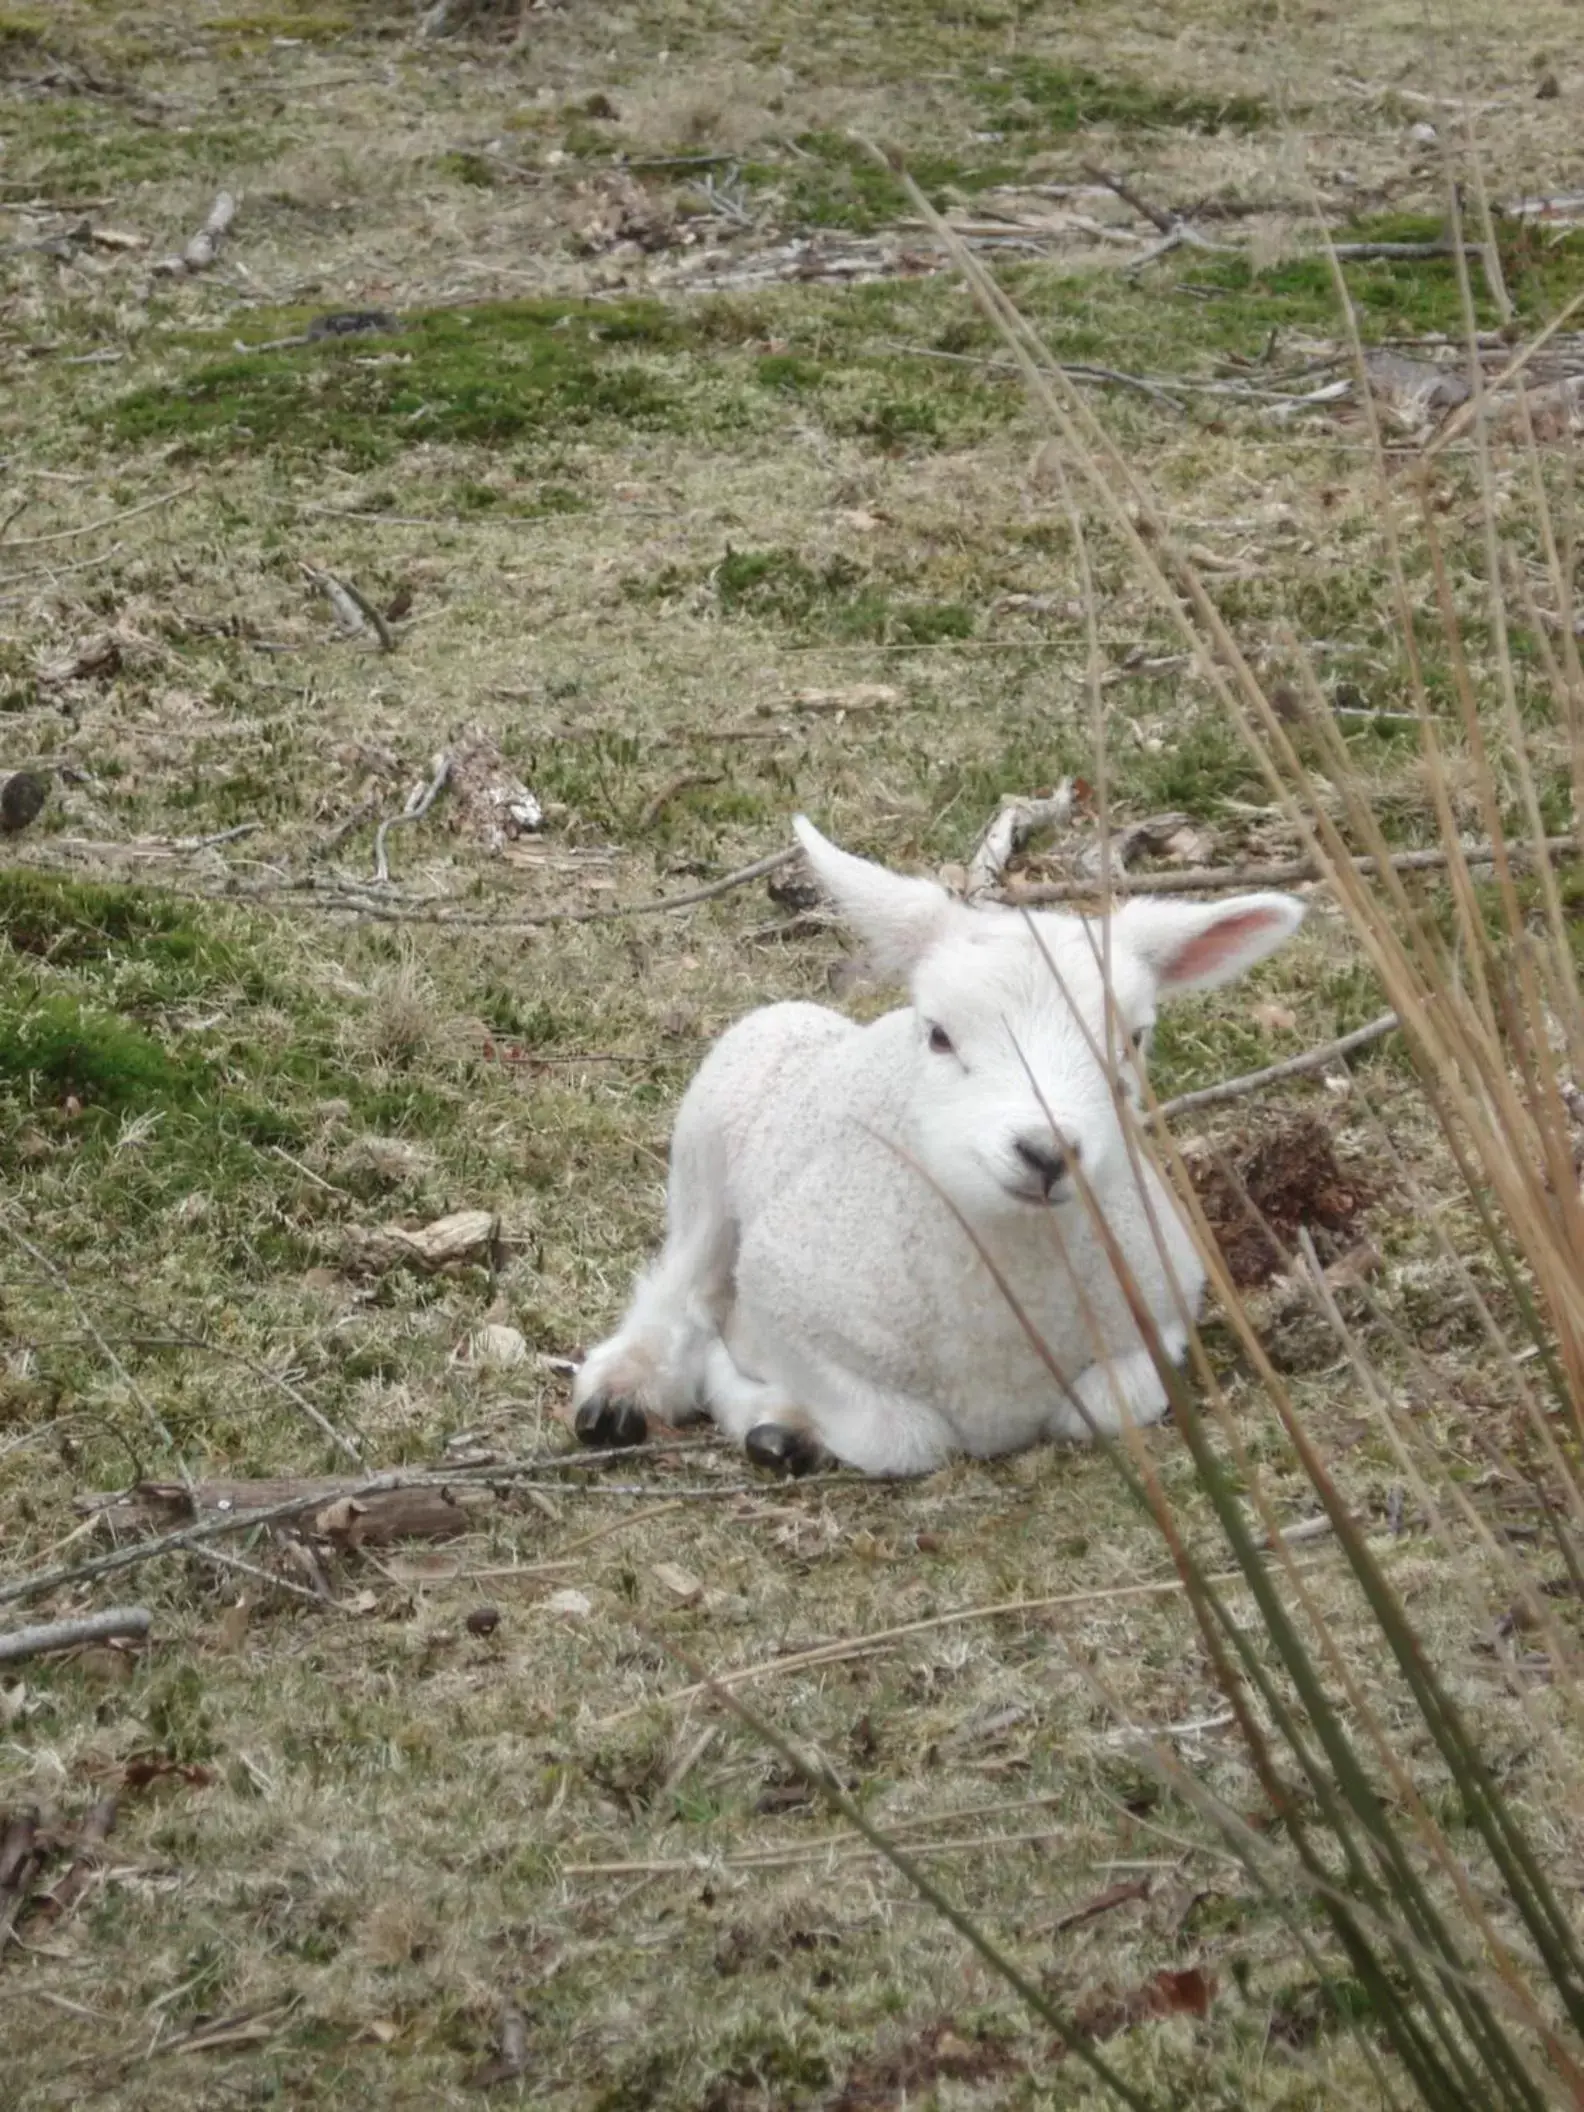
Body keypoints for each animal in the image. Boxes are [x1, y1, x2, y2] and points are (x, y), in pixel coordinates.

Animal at [570, 815, 1300, 1478]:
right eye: (941, 1035)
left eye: (1135, 1039)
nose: (1046, 1152)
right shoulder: (783, 1299)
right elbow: (899, 1437)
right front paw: (764, 1409)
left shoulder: (1169, 1304)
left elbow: (1104, 1405)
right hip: (716, 1125)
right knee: (682, 1286)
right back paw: (623, 1393)